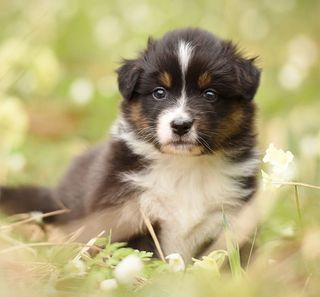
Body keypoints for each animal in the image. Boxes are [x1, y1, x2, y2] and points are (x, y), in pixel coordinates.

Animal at [0, 28, 260, 262]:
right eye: (159, 93)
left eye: (210, 94)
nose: (180, 125)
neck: (182, 167)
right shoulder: (127, 215)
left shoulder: (234, 218)